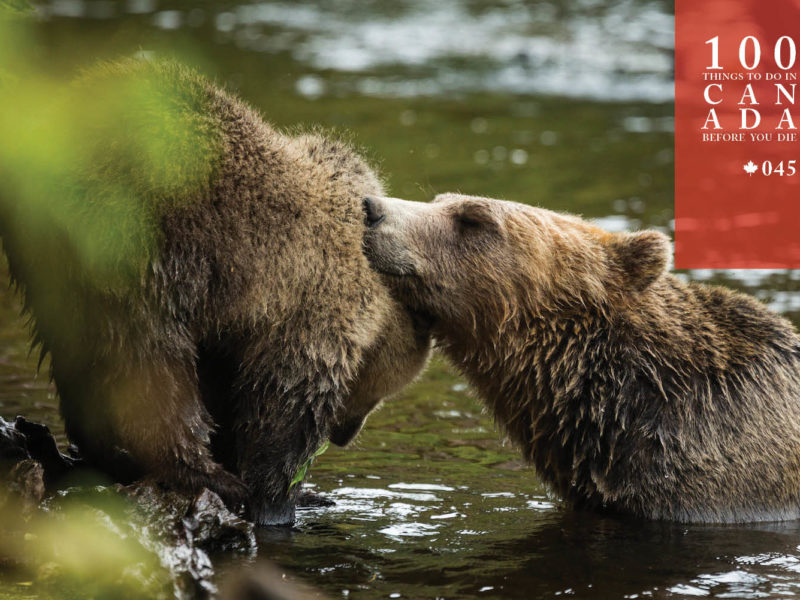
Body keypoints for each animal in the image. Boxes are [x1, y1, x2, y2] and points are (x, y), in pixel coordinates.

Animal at [0, 58, 432, 524]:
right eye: (379, 390)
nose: (345, 435)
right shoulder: (311, 300)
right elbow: (284, 402)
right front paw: (276, 497)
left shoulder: (237, 318)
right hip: (136, 243)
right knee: (147, 363)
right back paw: (204, 475)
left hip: (56, 267)